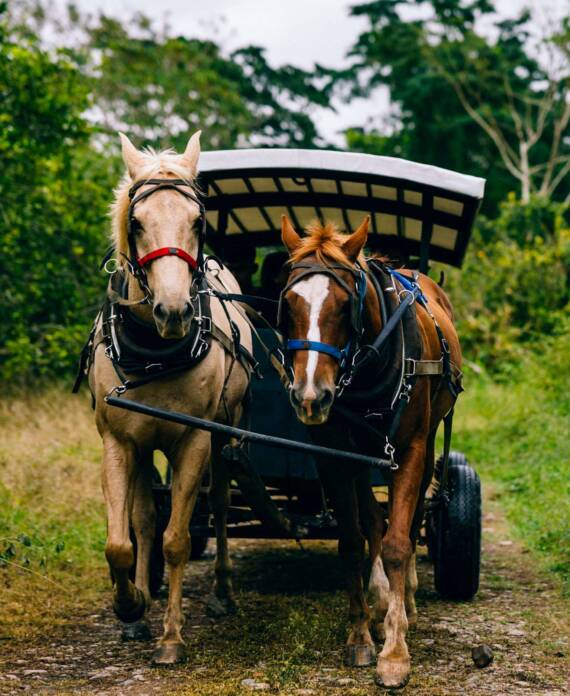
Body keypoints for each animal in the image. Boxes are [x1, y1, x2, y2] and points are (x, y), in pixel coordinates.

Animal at [87, 132, 252, 665]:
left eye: (197, 221)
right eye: (136, 222)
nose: (174, 311)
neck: (156, 353)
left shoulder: (195, 441)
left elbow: (177, 539)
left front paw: (172, 637)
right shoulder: (118, 442)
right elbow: (123, 539)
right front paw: (131, 605)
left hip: (224, 437)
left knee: (218, 507)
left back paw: (221, 592)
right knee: (143, 518)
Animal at [279, 214, 462, 687]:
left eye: (345, 306)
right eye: (287, 304)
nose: (310, 396)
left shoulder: (409, 449)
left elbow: (398, 542)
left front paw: (395, 653)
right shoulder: (335, 456)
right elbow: (351, 541)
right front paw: (361, 635)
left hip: (428, 438)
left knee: (413, 517)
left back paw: (406, 600)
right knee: (372, 518)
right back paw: (381, 601)